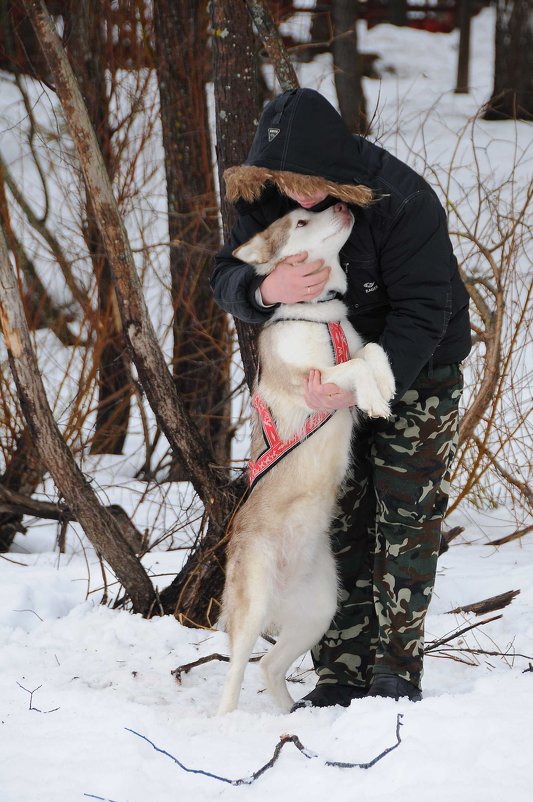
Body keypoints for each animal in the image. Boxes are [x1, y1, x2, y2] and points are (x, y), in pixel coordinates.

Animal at [216, 200, 394, 712]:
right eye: (299, 220)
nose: (341, 204)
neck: (317, 313)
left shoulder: (357, 345)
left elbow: (371, 352)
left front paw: (387, 388)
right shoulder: (310, 380)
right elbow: (353, 366)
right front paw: (374, 399)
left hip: (320, 611)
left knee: (270, 666)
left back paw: (289, 716)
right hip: (253, 602)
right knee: (237, 671)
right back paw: (225, 723)